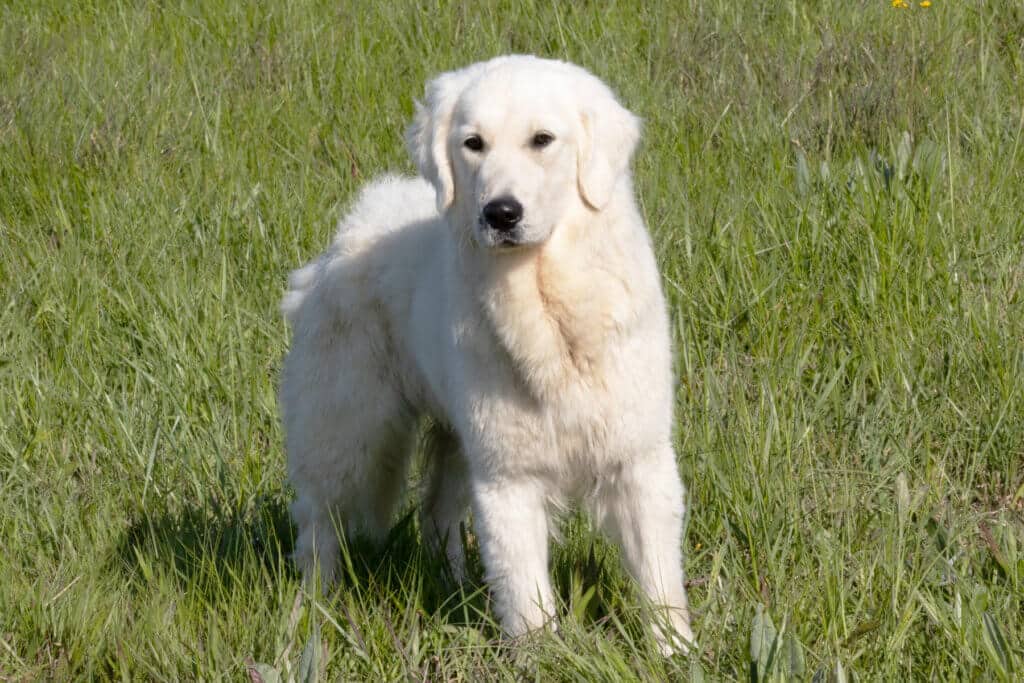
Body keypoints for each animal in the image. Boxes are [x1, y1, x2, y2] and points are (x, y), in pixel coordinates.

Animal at [280, 56, 696, 655]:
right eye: (473, 144)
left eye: (542, 140)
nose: (501, 213)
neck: (548, 311)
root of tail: (354, 226)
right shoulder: (508, 478)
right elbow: (528, 597)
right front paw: (543, 659)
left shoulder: (637, 458)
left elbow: (659, 580)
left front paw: (675, 655)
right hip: (347, 432)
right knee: (317, 523)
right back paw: (314, 611)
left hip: (453, 442)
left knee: (436, 513)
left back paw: (450, 585)